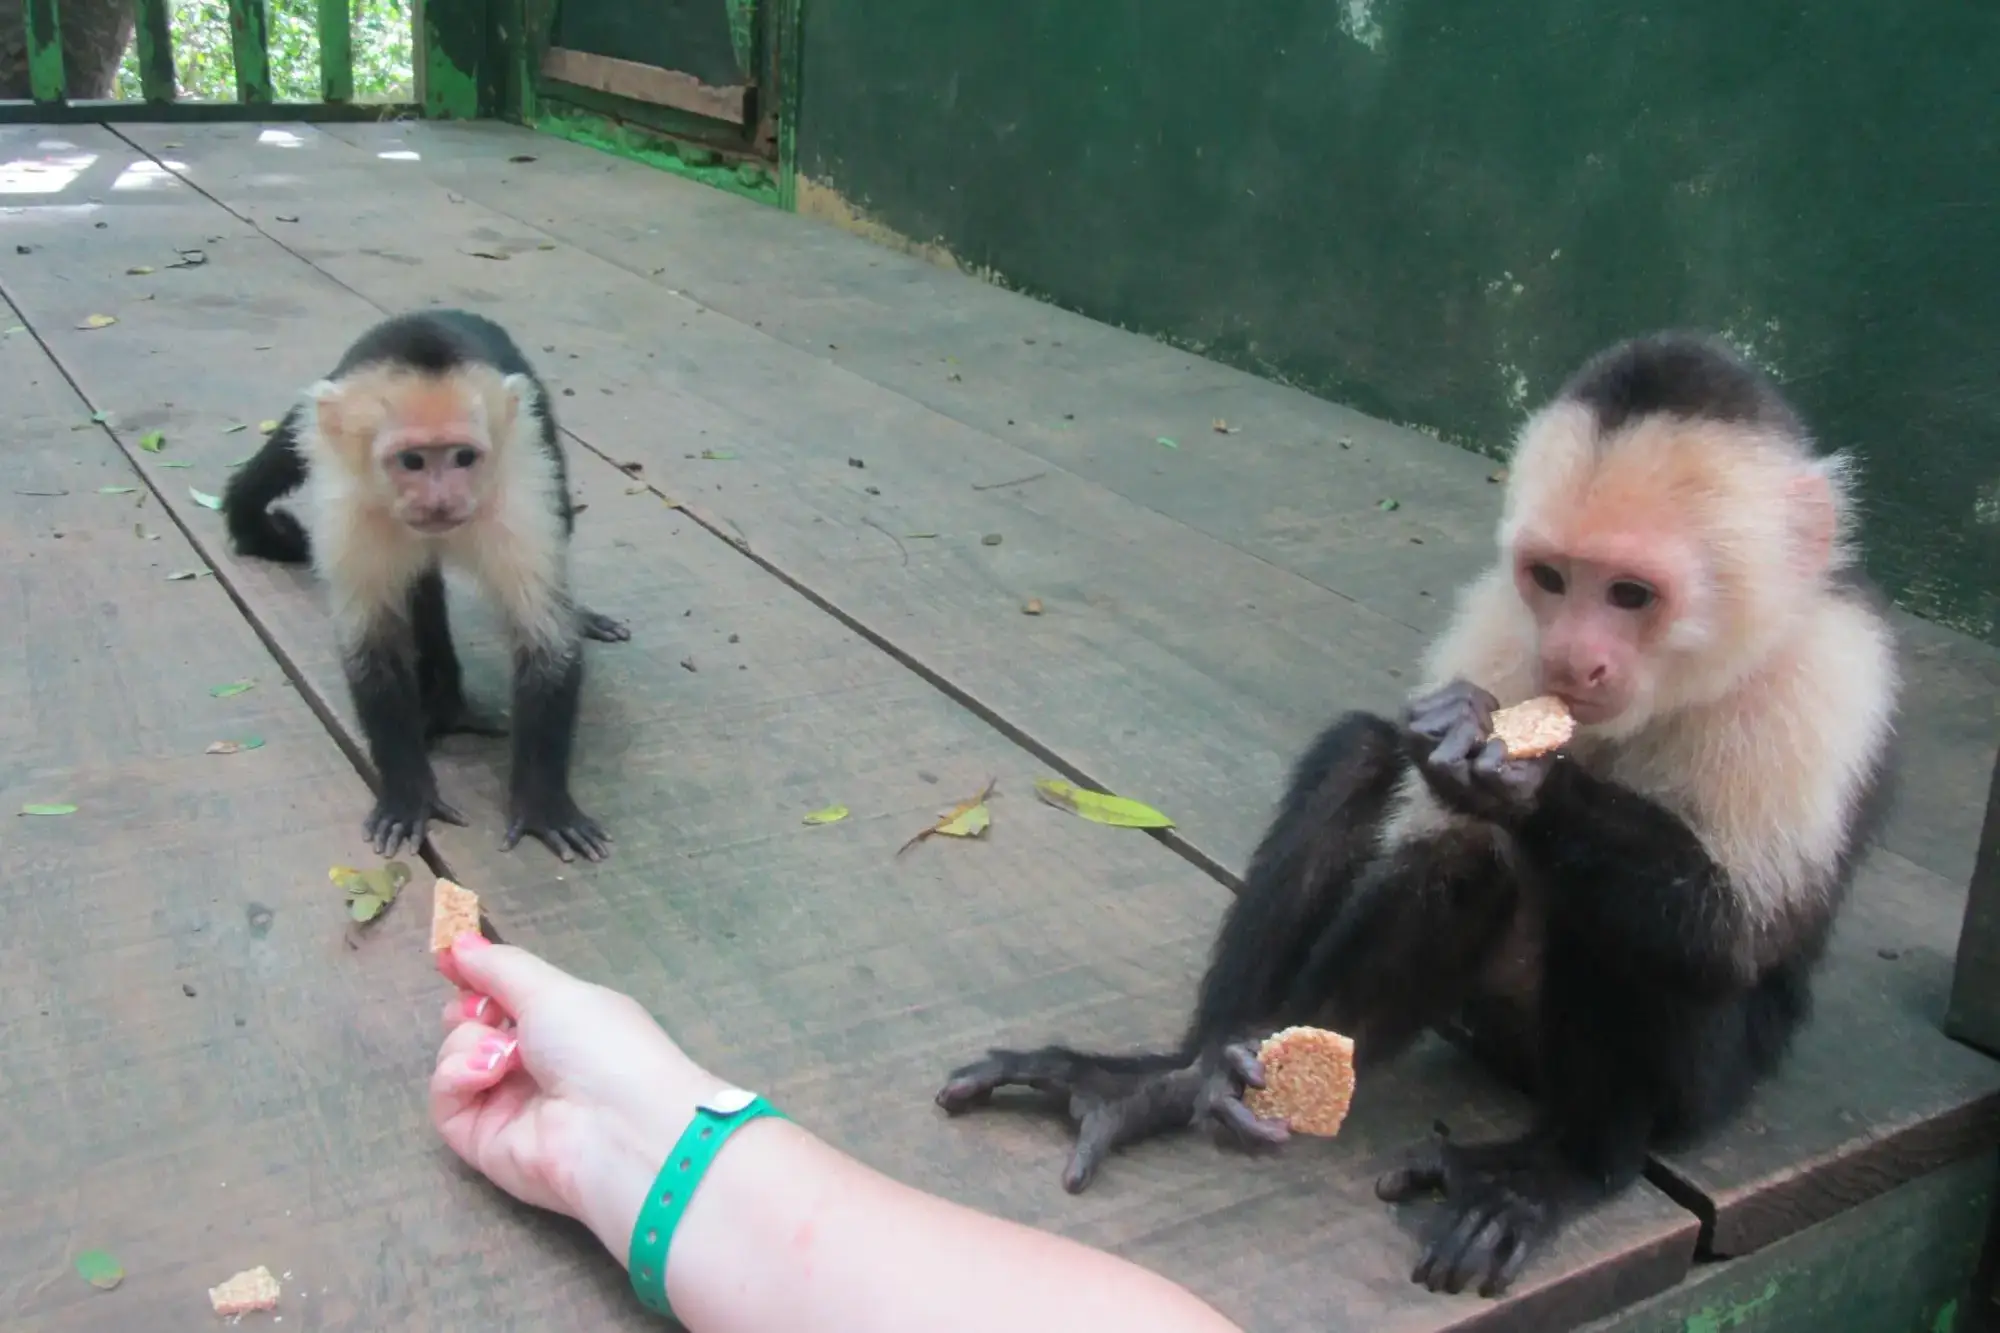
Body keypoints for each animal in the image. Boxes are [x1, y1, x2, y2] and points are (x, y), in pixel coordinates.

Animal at [221, 309, 628, 863]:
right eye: (412, 461)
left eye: (463, 458)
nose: (441, 502)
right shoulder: (354, 511)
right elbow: (373, 646)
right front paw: (408, 793)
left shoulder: (516, 496)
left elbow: (546, 641)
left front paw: (543, 803)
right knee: (421, 585)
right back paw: (446, 704)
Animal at [933, 332, 1902, 1300]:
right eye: (1552, 579)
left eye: (1631, 594)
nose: (1571, 659)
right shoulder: (1507, 621)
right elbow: (1436, 842)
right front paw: (1234, 1075)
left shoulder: (1826, 675)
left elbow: (1736, 933)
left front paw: (1530, 788)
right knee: (1378, 767)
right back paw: (1181, 1073)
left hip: (1709, 1088)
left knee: (1621, 927)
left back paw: (1565, 1166)